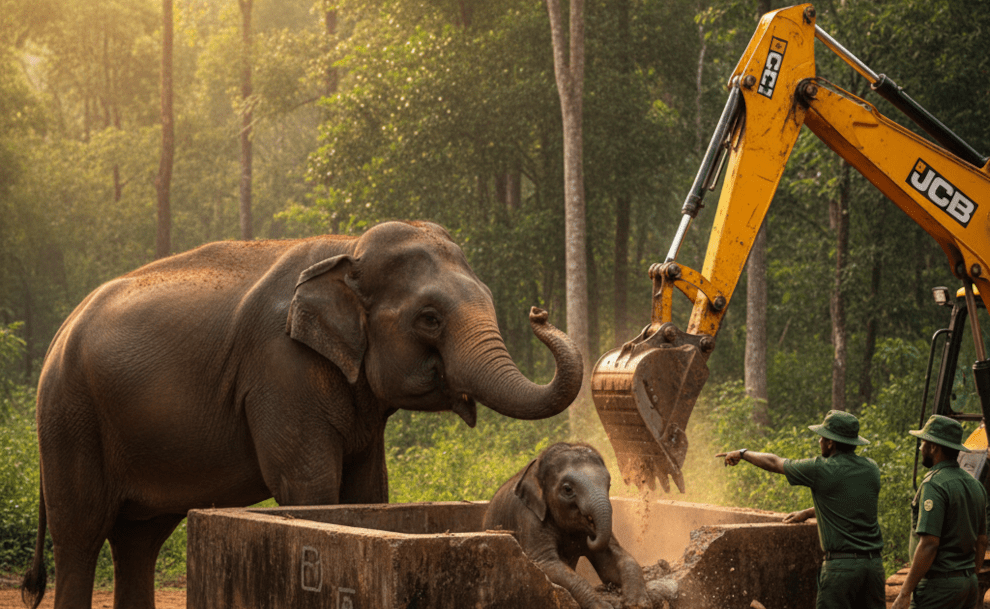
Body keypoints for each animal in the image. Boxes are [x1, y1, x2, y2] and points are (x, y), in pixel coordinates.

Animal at [20, 220, 584, 609]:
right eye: (429, 318)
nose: (539, 312)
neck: (347, 248)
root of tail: (60, 331)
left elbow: (369, 490)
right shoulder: (280, 370)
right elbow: (309, 483)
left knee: (139, 539)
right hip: (70, 418)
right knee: (81, 534)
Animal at [483, 442, 650, 609]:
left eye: (609, 484)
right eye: (568, 489)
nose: (591, 536)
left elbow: (611, 562)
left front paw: (636, 602)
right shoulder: (528, 517)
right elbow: (546, 564)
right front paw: (601, 606)